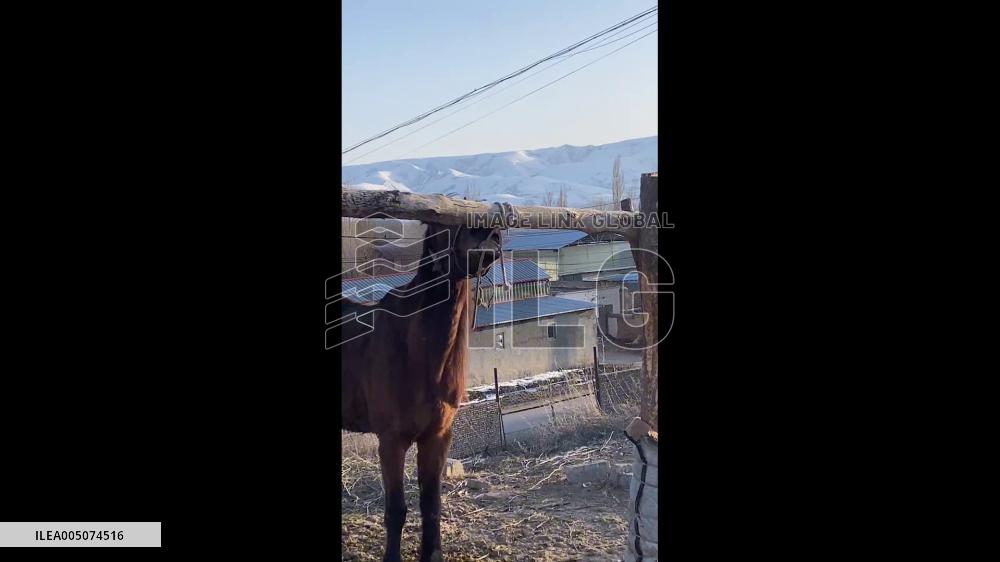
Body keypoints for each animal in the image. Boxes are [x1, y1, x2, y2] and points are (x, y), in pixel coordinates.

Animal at [340, 221, 503, 562]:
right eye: (441, 222)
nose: (489, 235)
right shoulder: (391, 440)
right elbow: (396, 510)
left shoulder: (437, 436)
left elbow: (431, 505)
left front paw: (433, 553)